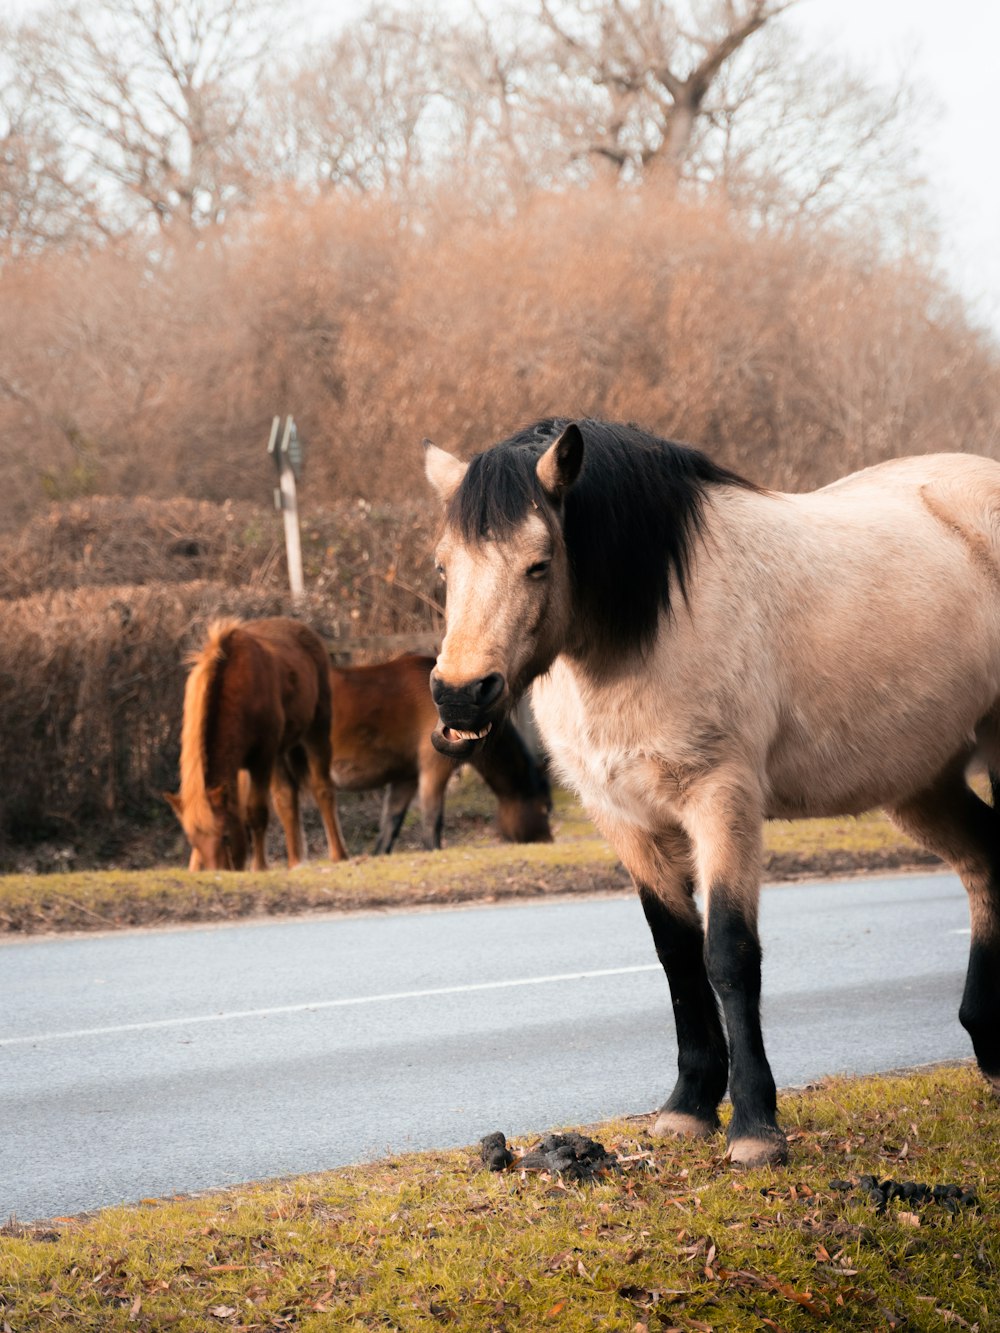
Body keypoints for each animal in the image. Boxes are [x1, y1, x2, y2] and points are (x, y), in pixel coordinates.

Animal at [165, 615, 349, 869]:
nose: (218, 872)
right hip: (280, 752)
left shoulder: (261, 759)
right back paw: (294, 861)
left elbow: (256, 813)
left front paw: (259, 866)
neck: (234, 685)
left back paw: (338, 853)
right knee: (286, 799)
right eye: (194, 842)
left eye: (225, 837)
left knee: (322, 789)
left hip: (315, 731)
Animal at [426, 415, 1000, 1167]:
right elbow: (677, 955)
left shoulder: (722, 802)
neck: (656, 621)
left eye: (539, 563)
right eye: (443, 567)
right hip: (920, 780)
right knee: (985, 862)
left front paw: (755, 1124)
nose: (461, 696)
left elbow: (728, 954)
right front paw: (689, 1105)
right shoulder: (626, 820)